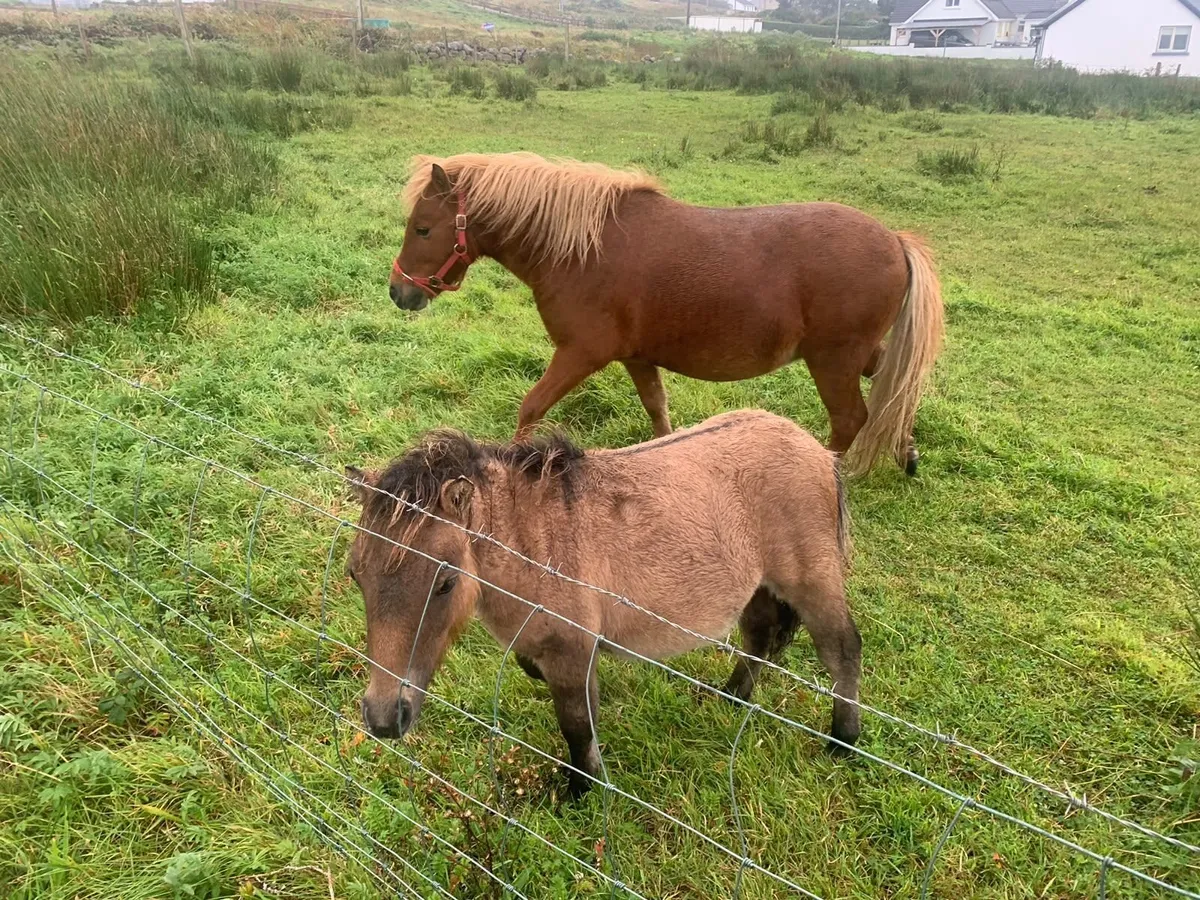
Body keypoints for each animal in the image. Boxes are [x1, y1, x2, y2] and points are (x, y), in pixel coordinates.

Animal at [346, 409, 862, 797]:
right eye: (355, 575)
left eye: (446, 582)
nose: (384, 718)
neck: (536, 540)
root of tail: (820, 452)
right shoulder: (564, 651)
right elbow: (582, 710)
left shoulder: (569, 653)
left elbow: (575, 723)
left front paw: (581, 788)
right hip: (758, 587)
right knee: (759, 636)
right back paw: (733, 696)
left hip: (813, 582)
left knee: (842, 650)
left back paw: (843, 741)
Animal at [388, 152, 944, 475]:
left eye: (422, 228)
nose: (399, 292)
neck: (581, 249)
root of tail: (895, 241)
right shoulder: (637, 357)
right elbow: (658, 412)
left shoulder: (580, 354)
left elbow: (531, 406)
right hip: (851, 356)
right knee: (896, 384)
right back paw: (907, 449)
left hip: (832, 361)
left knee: (852, 418)